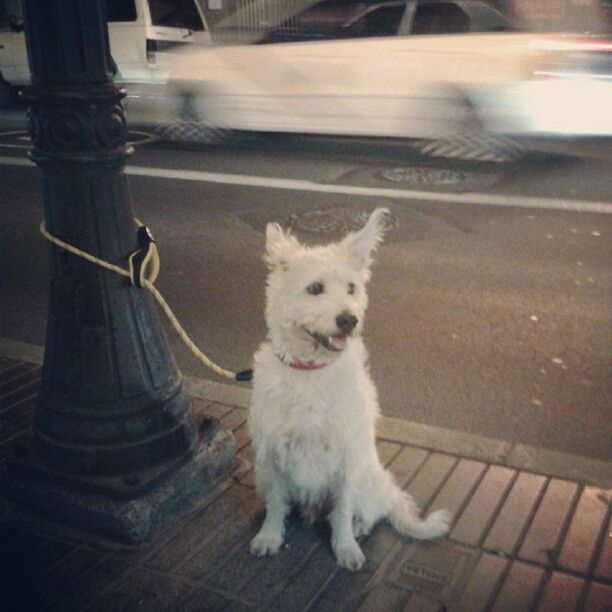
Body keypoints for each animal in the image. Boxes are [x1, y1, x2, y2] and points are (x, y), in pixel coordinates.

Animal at [249, 208, 450, 572]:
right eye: (315, 288)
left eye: (351, 288)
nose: (349, 320)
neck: (311, 372)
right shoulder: (270, 456)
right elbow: (275, 505)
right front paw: (269, 536)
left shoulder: (345, 462)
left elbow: (341, 512)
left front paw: (345, 548)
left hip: (366, 477)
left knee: (367, 511)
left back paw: (359, 526)